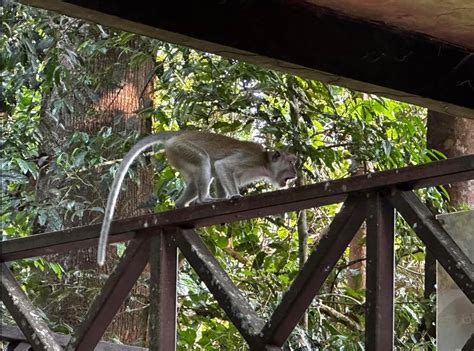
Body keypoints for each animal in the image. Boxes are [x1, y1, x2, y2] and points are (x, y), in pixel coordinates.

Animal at [96, 131, 296, 266]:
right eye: (290, 162)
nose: (295, 172)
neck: (265, 163)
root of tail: (179, 134)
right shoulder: (250, 159)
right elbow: (222, 166)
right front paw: (234, 196)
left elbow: (220, 176)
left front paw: (225, 202)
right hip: (182, 149)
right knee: (203, 160)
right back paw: (204, 199)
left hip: (178, 155)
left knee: (198, 177)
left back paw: (181, 205)